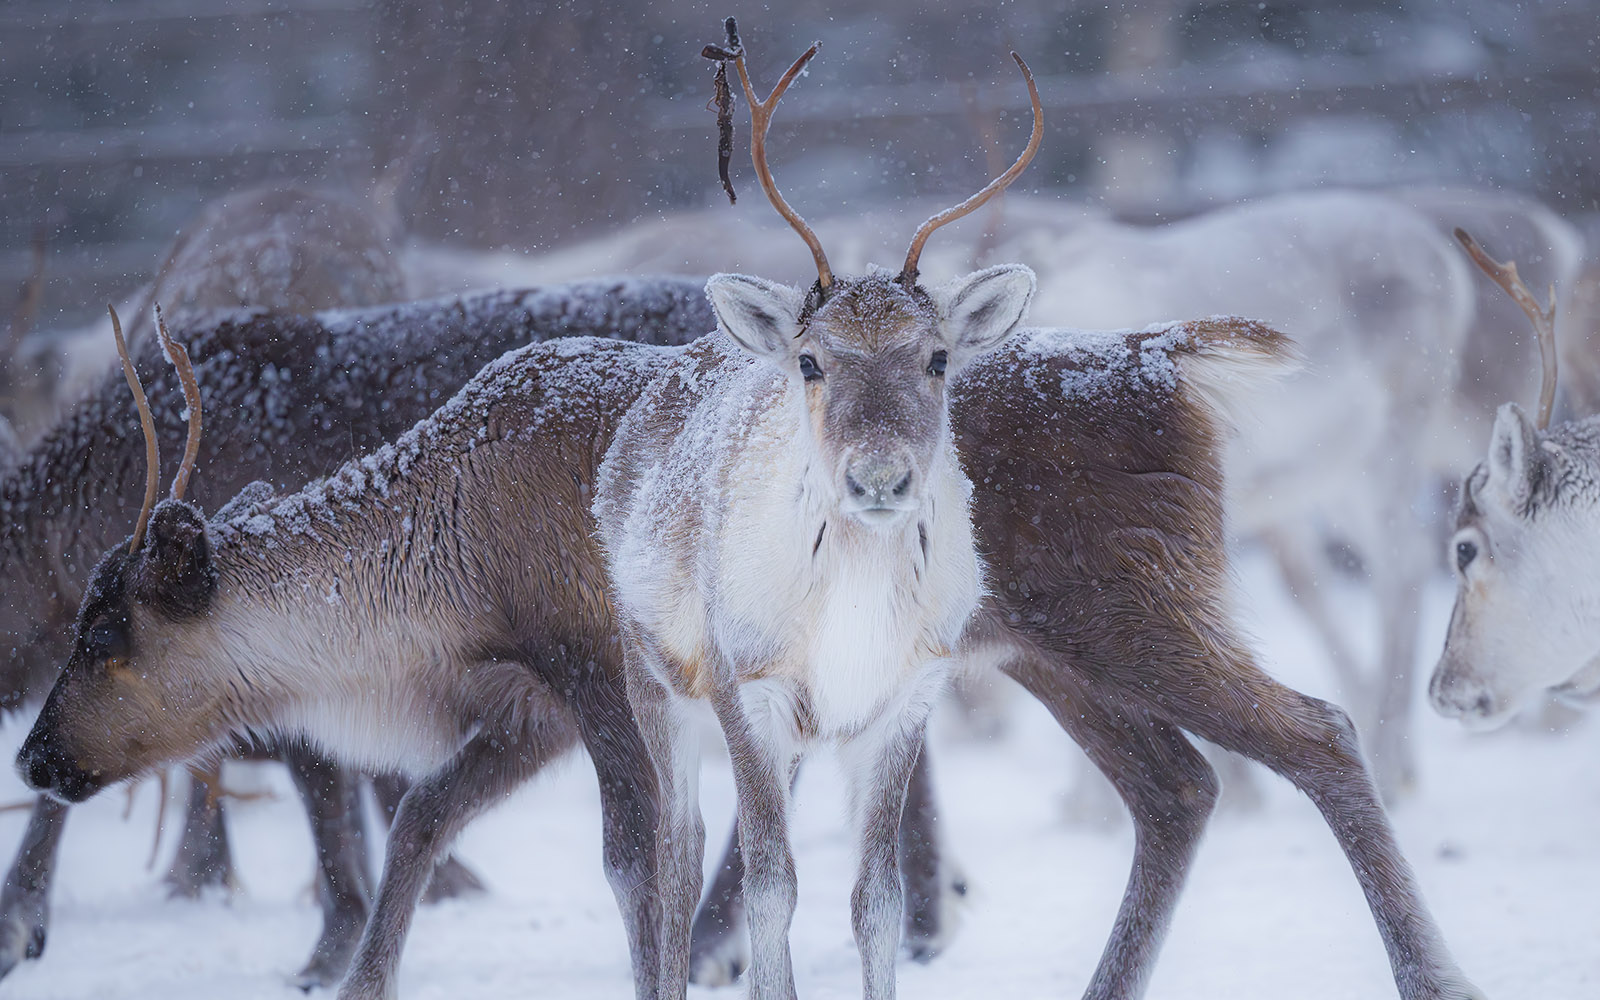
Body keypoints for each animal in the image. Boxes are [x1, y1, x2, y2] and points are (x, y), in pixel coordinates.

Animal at [0, 277, 715, 988]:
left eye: (102, 635)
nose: (31, 757)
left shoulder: (598, 681)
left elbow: (640, 864)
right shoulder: (533, 711)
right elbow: (417, 819)